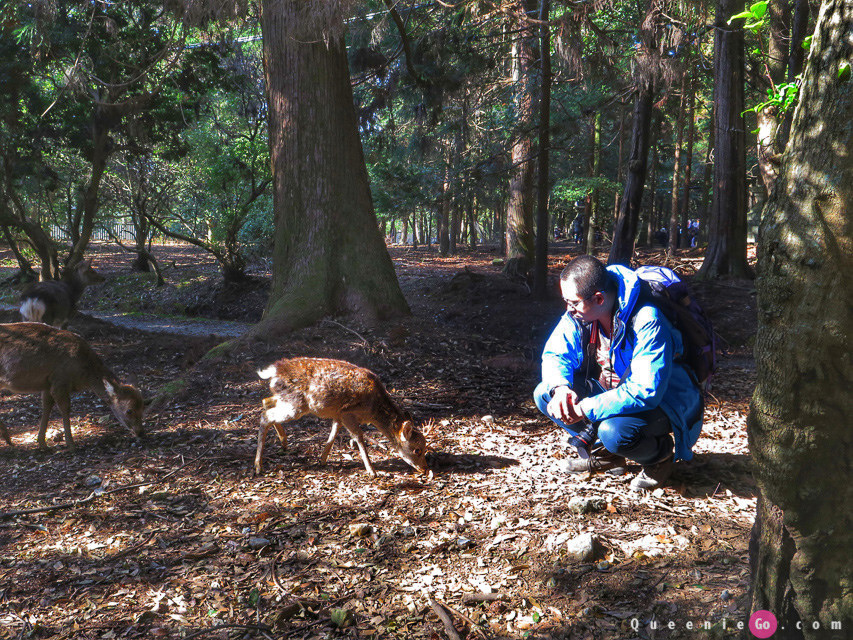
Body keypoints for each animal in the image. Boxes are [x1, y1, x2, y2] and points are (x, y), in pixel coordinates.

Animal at [0, 322, 143, 452]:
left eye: (144, 405)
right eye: (129, 410)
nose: (140, 432)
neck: (83, 374)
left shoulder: (48, 383)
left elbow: (46, 406)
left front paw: (42, 443)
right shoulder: (60, 380)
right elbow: (65, 408)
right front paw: (71, 444)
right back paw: (7, 438)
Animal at [251, 358, 426, 478]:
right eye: (417, 450)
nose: (424, 469)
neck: (373, 411)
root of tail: (274, 371)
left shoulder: (338, 414)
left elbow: (334, 433)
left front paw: (322, 459)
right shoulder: (347, 413)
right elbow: (358, 436)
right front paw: (372, 471)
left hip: (286, 399)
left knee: (266, 401)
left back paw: (283, 442)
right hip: (296, 405)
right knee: (266, 415)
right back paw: (258, 466)